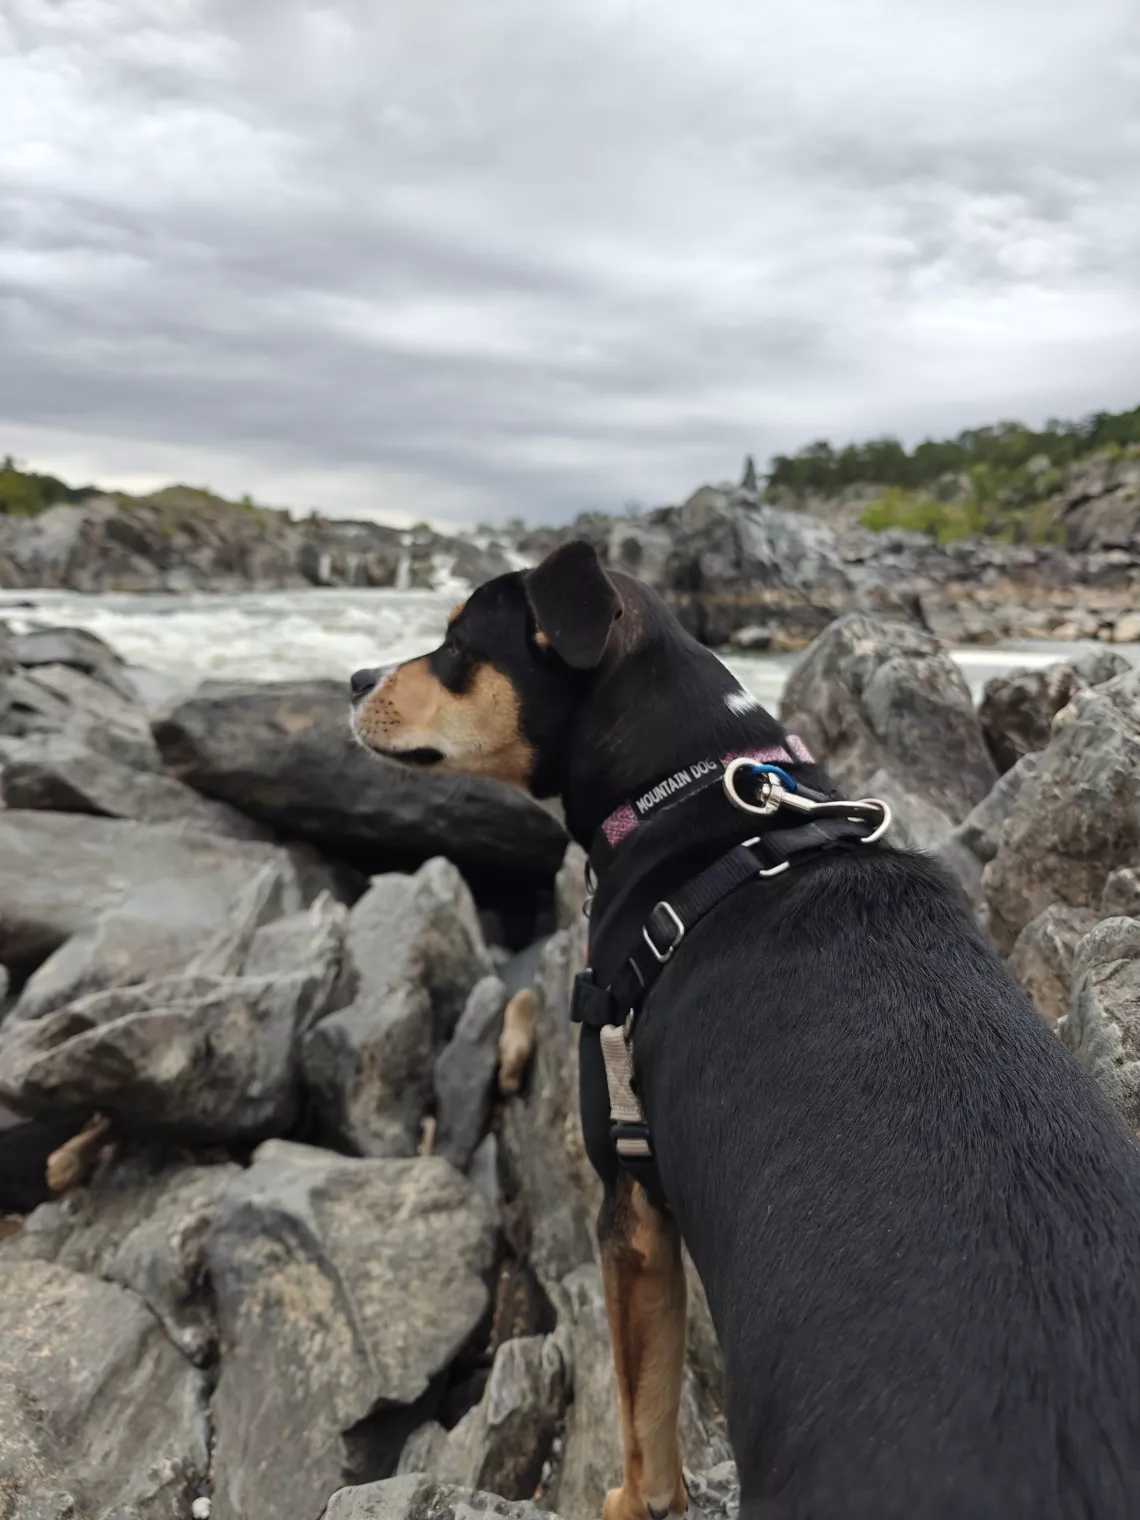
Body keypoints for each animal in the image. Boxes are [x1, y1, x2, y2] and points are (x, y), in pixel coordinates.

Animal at [352, 544, 1140, 1520]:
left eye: (459, 645)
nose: (354, 679)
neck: (694, 800)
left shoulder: (631, 1193)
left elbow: (645, 1420)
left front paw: (627, 1502)